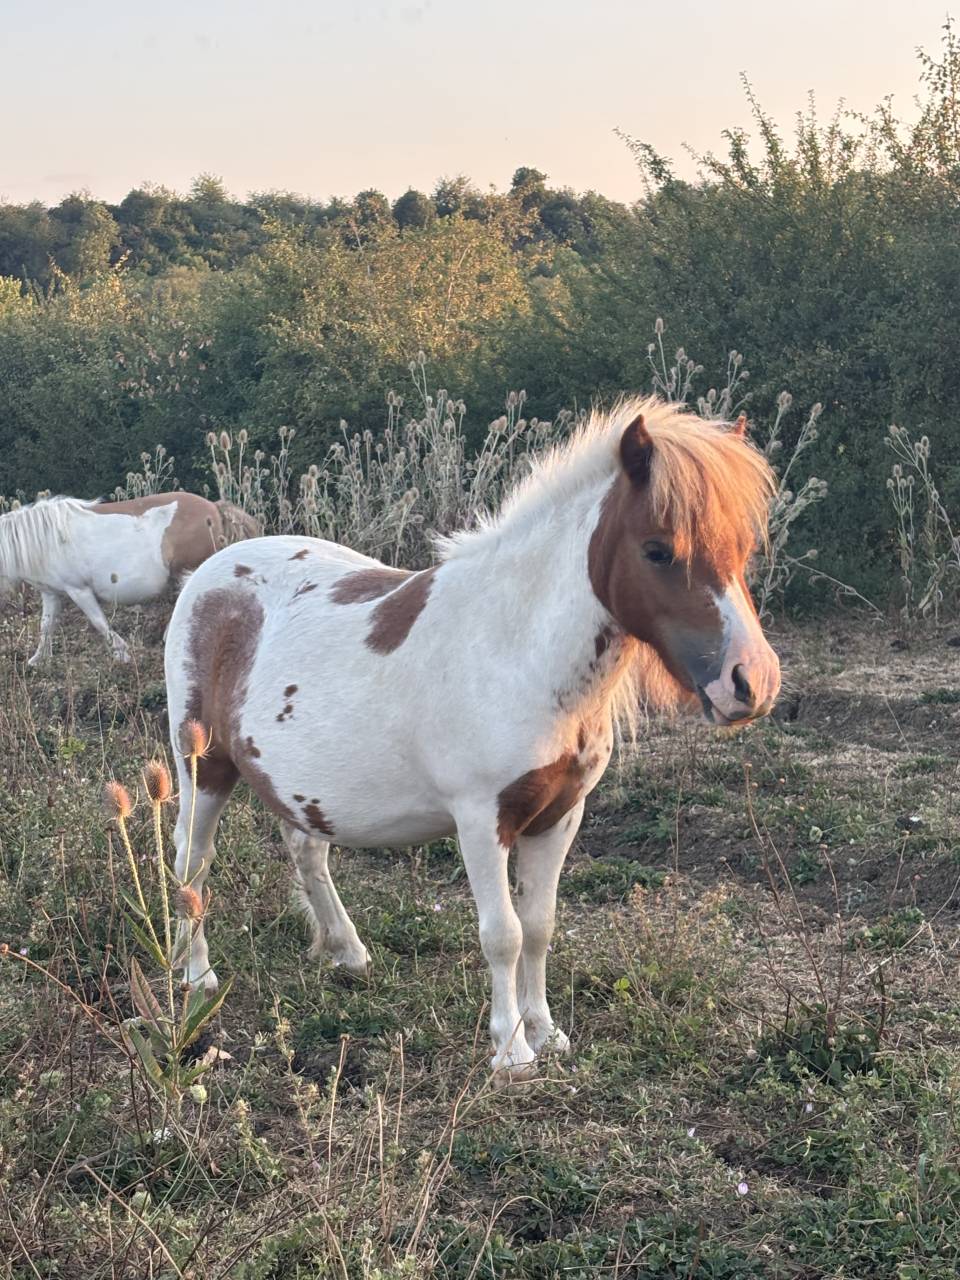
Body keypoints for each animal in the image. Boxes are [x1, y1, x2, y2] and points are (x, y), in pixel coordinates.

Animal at [0, 492, 258, 666]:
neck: (47, 540)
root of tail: (214, 507)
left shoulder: (79, 590)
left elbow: (99, 622)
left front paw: (122, 653)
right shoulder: (52, 593)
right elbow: (46, 626)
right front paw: (37, 660)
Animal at [164, 397, 781, 1083]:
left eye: (744, 547)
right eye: (658, 550)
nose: (752, 682)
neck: (517, 648)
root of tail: (209, 575)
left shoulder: (559, 816)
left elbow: (539, 926)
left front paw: (546, 1032)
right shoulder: (483, 819)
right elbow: (502, 933)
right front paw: (510, 1051)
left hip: (299, 786)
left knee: (307, 851)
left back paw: (347, 951)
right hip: (202, 769)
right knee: (191, 862)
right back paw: (196, 976)